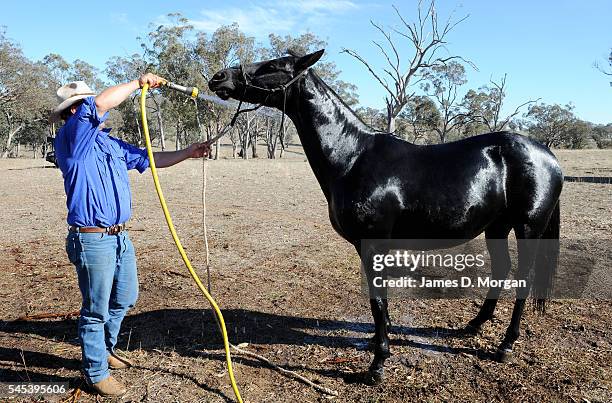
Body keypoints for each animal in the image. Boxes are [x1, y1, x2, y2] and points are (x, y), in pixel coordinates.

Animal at [209, 50, 564, 386]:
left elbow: (377, 301)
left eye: (274, 66)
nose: (218, 77)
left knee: (524, 279)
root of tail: (548, 155)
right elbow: (379, 300)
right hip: (497, 227)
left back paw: (506, 345)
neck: (352, 157)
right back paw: (474, 325)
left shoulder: (373, 244)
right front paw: (382, 340)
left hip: (528, 227)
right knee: (502, 269)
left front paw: (378, 364)